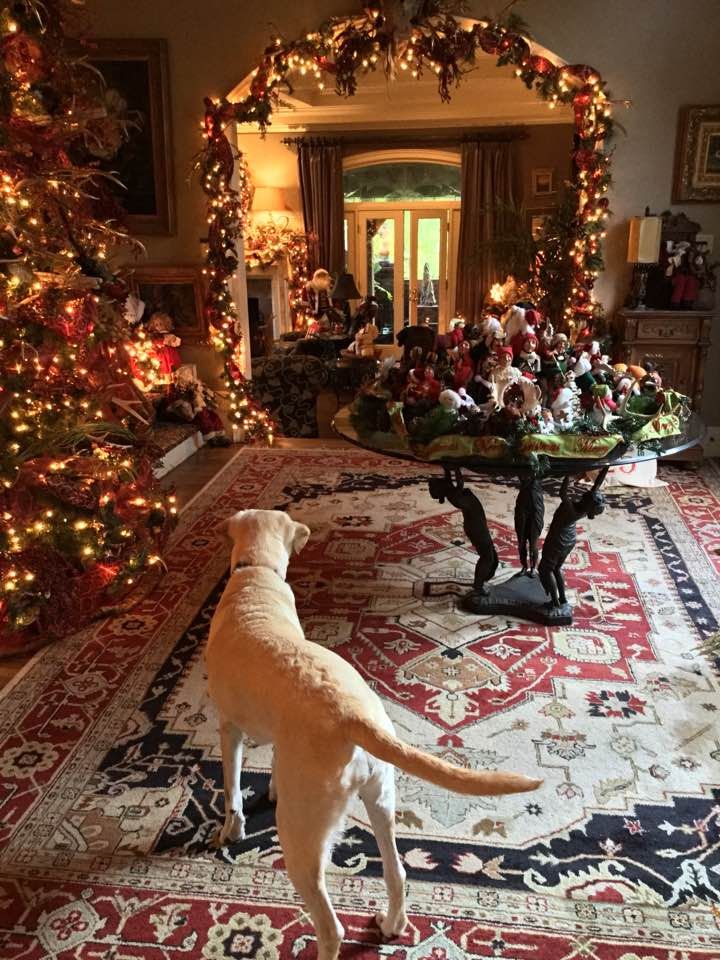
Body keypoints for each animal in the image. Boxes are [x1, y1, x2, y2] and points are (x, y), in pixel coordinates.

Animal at [205, 510, 536, 960]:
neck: (256, 573)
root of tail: (352, 715)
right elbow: (271, 760)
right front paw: (270, 787)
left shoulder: (229, 727)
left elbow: (232, 790)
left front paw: (231, 830)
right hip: (380, 799)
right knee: (397, 873)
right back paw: (391, 925)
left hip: (301, 836)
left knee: (331, 928)